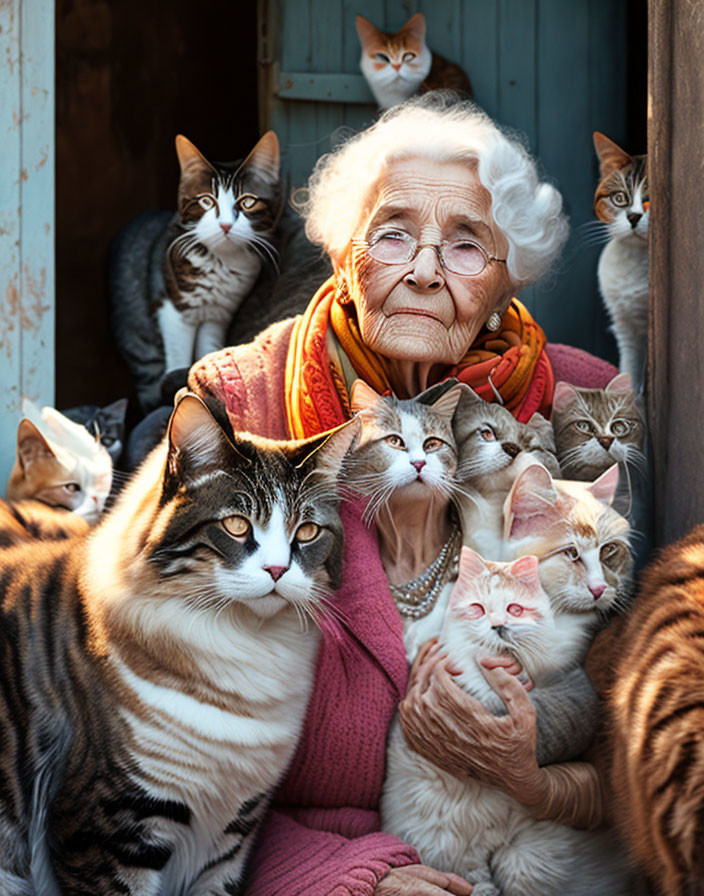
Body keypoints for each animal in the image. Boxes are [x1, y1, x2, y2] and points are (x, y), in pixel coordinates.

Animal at [0, 394, 354, 896]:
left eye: (306, 532)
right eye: (236, 525)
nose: (278, 571)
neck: (245, 646)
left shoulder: (230, 837)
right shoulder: (105, 827)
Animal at [108, 131, 284, 412]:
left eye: (247, 202)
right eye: (206, 201)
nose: (225, 225)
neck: (222, 263)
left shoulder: (218, 315)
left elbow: (207, 349)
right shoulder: (174, 309)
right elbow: (179, 354)